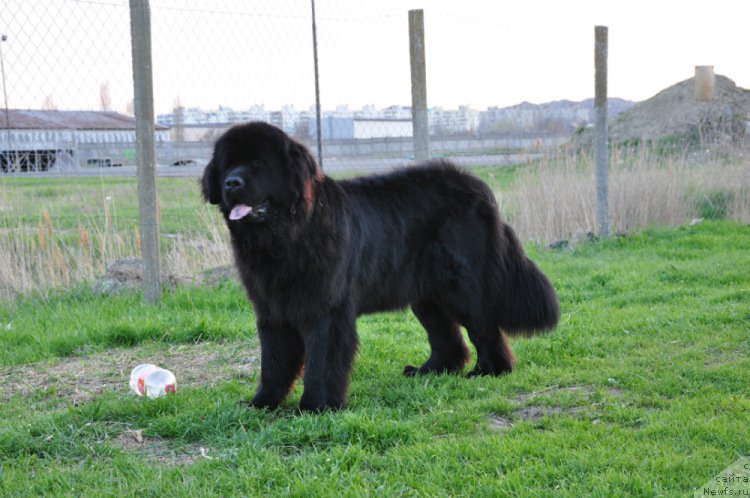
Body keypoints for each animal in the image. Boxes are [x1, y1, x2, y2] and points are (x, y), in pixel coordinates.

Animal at [203, 122, 560, 410]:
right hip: (426, 294)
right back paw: (429, 371)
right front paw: (262, 402)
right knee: (447, 337)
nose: (232, 183)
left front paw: (316, 406)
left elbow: (321, 360)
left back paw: (489, 371)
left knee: (484, 327)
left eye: (258, 163)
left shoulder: (327, 309)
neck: (286, 236)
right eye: (227, 165)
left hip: (463, 287)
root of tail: (477, 185)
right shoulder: (272, 310)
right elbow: (274, 361)